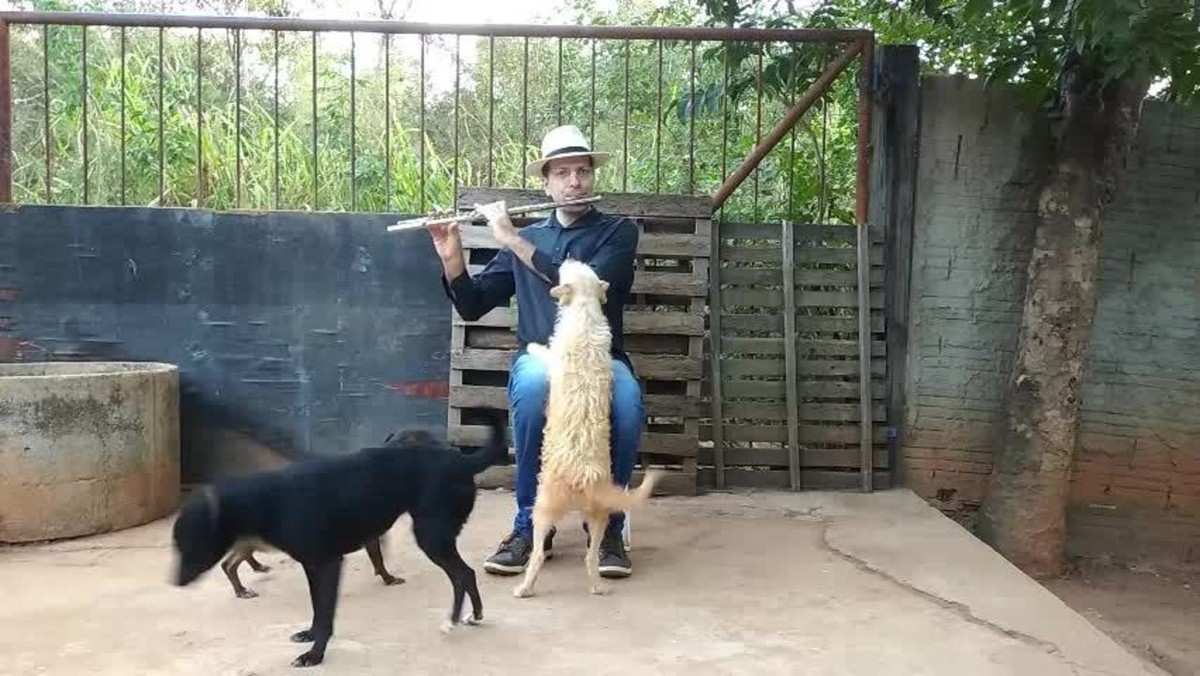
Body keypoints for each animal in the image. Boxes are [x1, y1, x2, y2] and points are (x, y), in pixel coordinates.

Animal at [170, 413, 506, 667]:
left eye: (190, 542)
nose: (175, 583)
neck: (268, 501)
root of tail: (461, 461)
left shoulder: (329, 564)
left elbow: (327, 613)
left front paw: (314, 654)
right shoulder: (312, 566)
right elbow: (318, 609)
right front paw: (309, 635)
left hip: (432, 537)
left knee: (463, 574)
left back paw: (454, 620)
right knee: (464, 575)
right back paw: (470, 617)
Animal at [513, 259, 662, 597]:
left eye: (570, 268)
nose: (567, 258)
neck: (585, 308)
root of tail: (586, 480)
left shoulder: (555, 357)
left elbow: (544, 352)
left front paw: (533, 345)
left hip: (543, 507)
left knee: (538, 554)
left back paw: (525, 587)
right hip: (597, 517)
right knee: (590, 556)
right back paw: (596, 585)